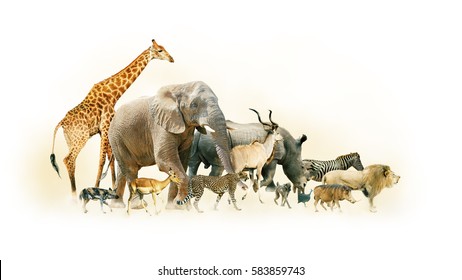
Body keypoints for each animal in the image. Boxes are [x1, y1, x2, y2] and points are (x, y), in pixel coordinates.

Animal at [49, 38, 174, 198]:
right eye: (159, 50)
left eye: (163, 48)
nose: (172, 59)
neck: (114, 94)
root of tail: (61, 123)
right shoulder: (105, 125)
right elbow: (102, 159)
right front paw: (97, 187)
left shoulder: (104, 129)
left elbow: (110, 156)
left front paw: (113, 186)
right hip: (81, 138)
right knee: (68, 160)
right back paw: (74, 195)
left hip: (70, 140)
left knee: (71, 161)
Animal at [106, 80, 233, 208]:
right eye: (194, 105)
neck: (180, 87)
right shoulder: (160, 125)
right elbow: (164, 159)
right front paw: (181, 206)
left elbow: (182, 161)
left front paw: (174, 206)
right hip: (116, 137)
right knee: (130, 168)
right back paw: (138, 206)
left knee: (122, 170)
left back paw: (117, 206)